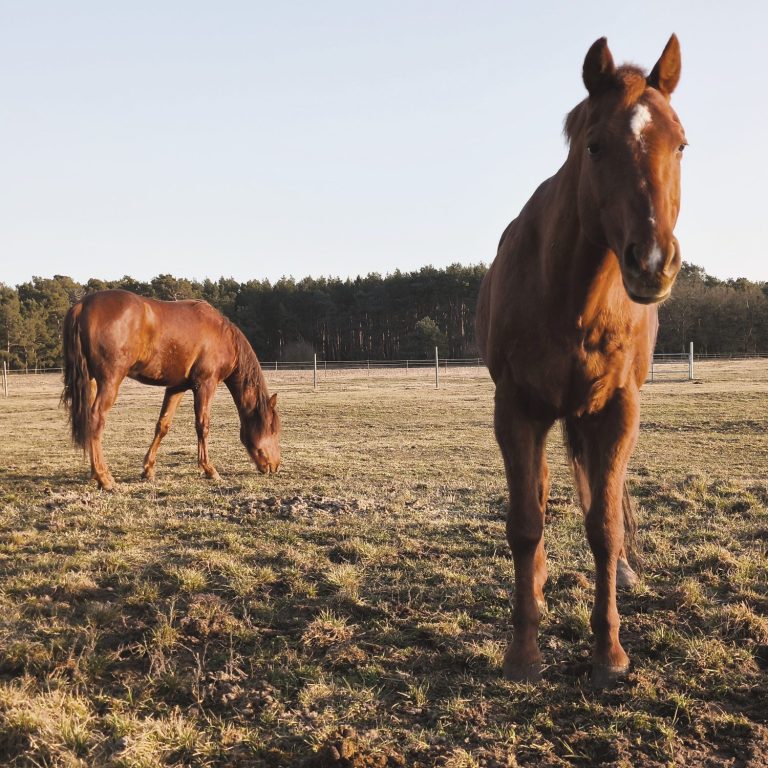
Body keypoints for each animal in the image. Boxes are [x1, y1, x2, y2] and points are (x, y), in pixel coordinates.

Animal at [62, 289, 281, 490]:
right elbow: (203, 425)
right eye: (273, 429)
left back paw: (95, 474)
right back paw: (104, 478)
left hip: (91, 381)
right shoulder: (205, 384)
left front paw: (148, 469)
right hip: (110, 381)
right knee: (96, 419)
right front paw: (209, 469)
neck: (223, 336)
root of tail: (82, 305)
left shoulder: (176, 387)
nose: (275, 466)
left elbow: (163, 425)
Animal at [476, 35, 686, 686]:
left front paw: (609, 650)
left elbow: (605, 525)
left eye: (681, 143)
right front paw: (524, 650)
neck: (571, 297)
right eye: (595, 145)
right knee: (541, 497)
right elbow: (525, 522)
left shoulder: (616, 411)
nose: (652, 262)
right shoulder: (517, 410)